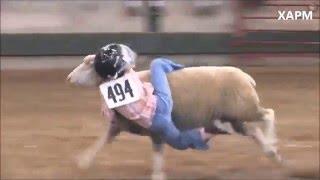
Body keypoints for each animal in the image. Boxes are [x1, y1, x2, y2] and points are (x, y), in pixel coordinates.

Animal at [66, 45, 282, 179]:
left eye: (88, 63)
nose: (69, 78)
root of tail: (246, 77)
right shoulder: (119, 125)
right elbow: (101, 142)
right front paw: (83, 162)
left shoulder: (155, 131)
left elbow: (157, 154)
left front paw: (157, 175)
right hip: (231, 119)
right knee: (254, 130)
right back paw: (272, 153)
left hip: (243, 109)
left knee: (268, 114)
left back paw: (272, 143)